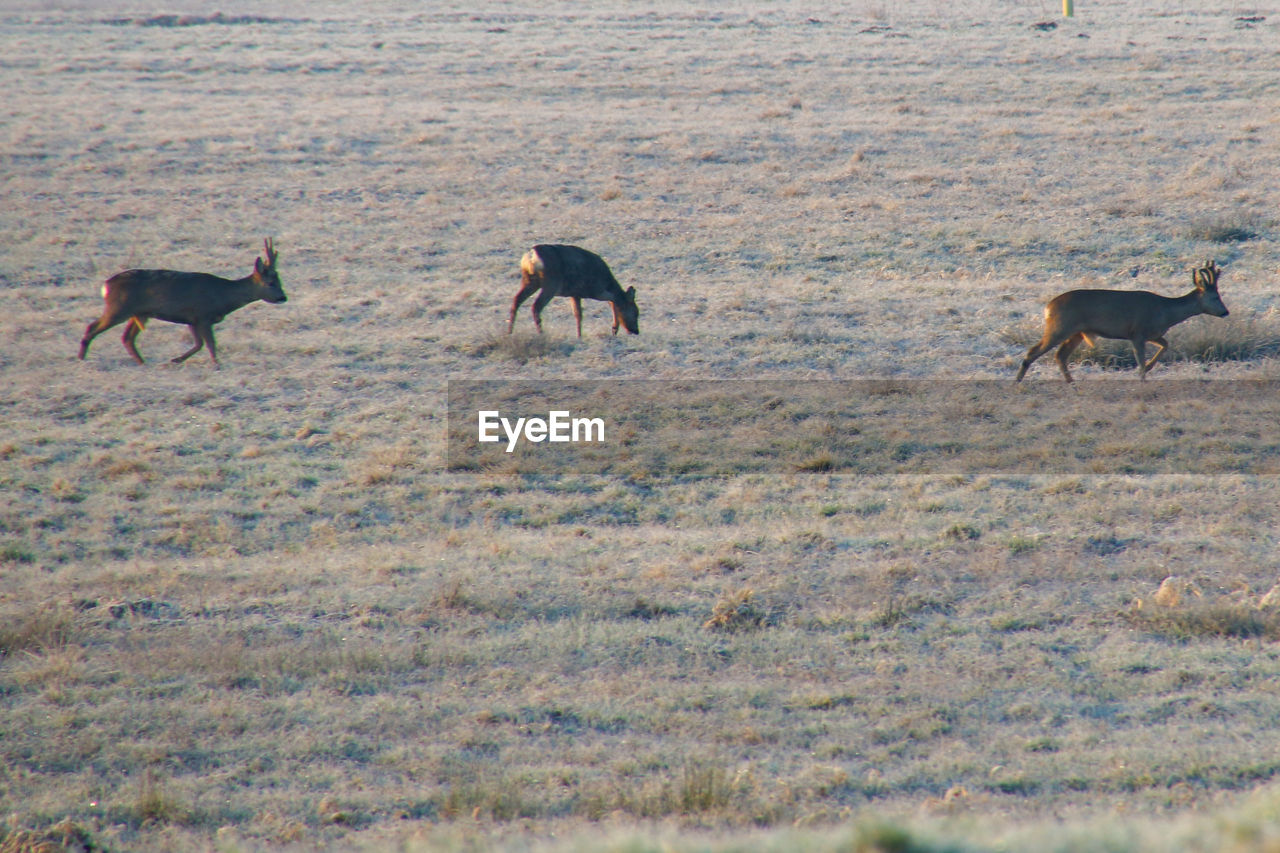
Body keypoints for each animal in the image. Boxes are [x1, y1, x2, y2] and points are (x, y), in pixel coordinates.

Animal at [78, 235, 286, 366]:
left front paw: (176, 360)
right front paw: (217, 364)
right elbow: (210, 344)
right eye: (271, 282)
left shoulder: (192, 319)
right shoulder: (202, 315)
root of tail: (106, 285)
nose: (283, 297)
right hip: (119, 308)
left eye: (279, 281)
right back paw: (81, 358)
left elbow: (198, 344)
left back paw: (142, 362)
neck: (223, 296)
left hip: (140, 313)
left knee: (127, 337)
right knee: (92, 327)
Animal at [504, 242, 634, 335]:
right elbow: (612, 300)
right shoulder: (596, 290)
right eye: (635, 311)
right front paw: (614, 329)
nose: (635, 330)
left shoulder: (575, 294)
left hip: (529, 280)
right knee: (536, 306)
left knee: (516, 300)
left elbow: (578, 315)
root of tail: (531, 256)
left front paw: (579, 336)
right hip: (550, 284)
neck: (608, 282)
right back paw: (541, 333)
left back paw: (509, 331)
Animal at [1008, 257, 1228, 379]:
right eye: (1215, 297)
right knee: (1033, 352)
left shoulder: (1151, 334)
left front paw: (1150, 368)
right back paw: (1017, 382)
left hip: (1076, 333)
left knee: (1060, 356)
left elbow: (1165, 344)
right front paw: (1143, 377)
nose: (1225, 312)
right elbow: (1140, 361)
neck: (1164, 312)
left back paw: (1072, 383)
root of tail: (1048, 307)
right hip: (1060, 327)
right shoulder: (1137, 332)